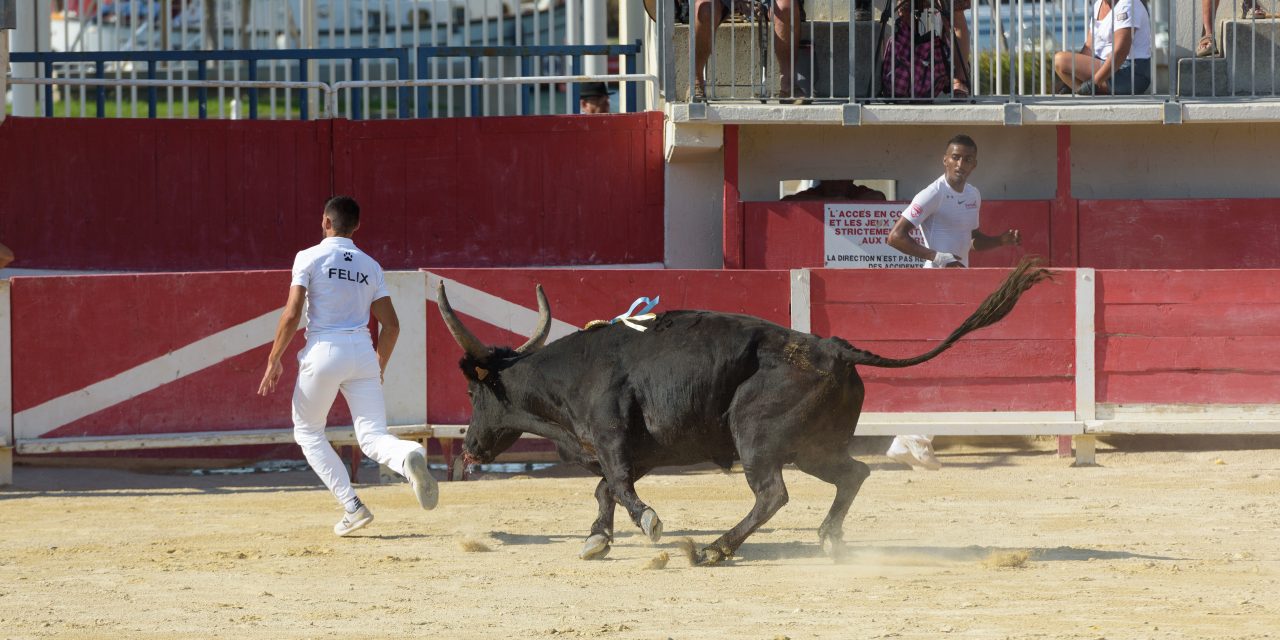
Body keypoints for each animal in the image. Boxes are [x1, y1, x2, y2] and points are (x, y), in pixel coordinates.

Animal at [437, 256, 1049, 565]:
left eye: (472, 394)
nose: (468, 447)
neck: (568, 378)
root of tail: (834, 347)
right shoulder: (637, 452)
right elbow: (604, 489)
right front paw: (596, 539)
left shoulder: (611, 438)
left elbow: (617, 485)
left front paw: (649, 526)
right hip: (811, 445)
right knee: (854, 472)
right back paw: (828, 539)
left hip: (755, 435)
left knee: (773, 493)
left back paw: (714, 549)